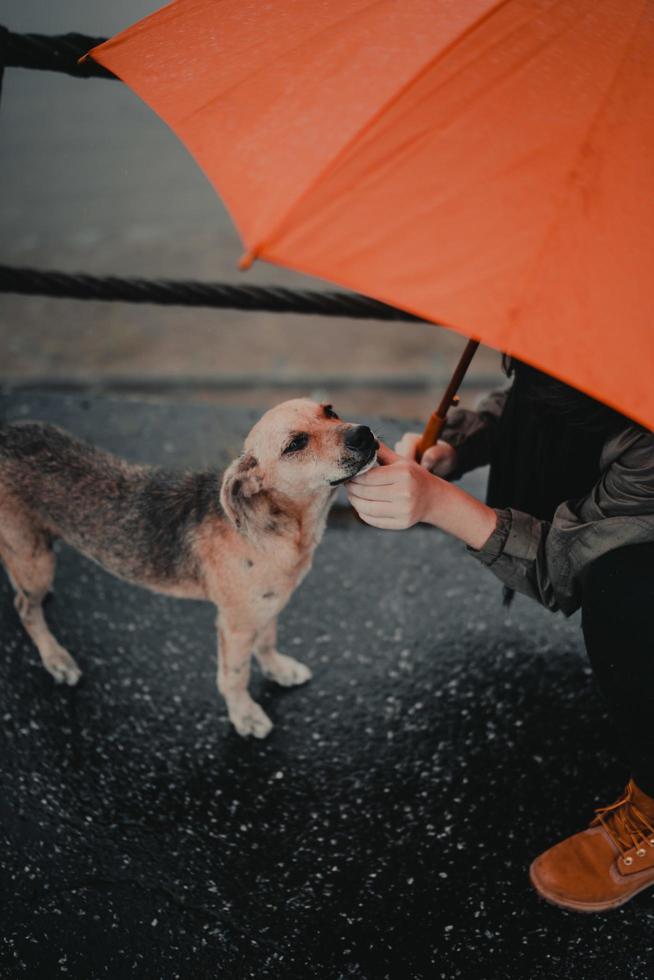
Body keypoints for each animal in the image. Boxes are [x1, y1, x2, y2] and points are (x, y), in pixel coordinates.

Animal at [0, 398, 380, 736]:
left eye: (330, 411)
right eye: (296, 444)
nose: (363, 434)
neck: (281, 526)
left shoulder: (267, 606)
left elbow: (268, 642)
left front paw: (279, 670)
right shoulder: (235, 625)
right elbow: (235, 675)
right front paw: (245, 715)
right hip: (36, 560)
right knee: (24, 608)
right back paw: (56, 658)